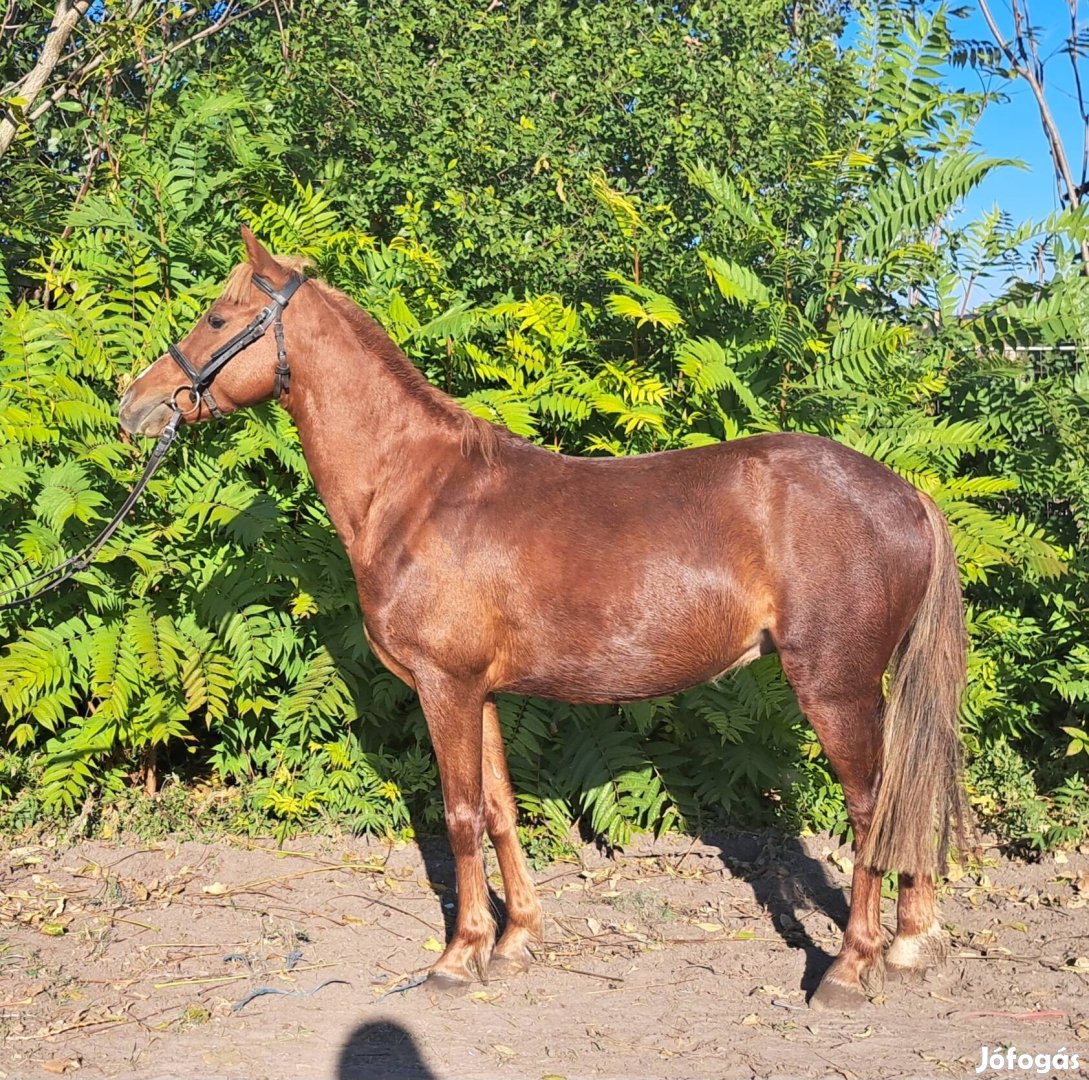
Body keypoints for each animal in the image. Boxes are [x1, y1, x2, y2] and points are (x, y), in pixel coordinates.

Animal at [119, 227, 967, 1010]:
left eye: (216, 316)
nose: (135, 402)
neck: (417, 490)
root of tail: (907, 494)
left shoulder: (444, 686)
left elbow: (460, 815)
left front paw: (457, 956)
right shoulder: (479, 691)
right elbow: (499, 810)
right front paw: (515, 938)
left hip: (834, 688)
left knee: (872, 809)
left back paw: (850, 968)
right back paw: (909, 943)